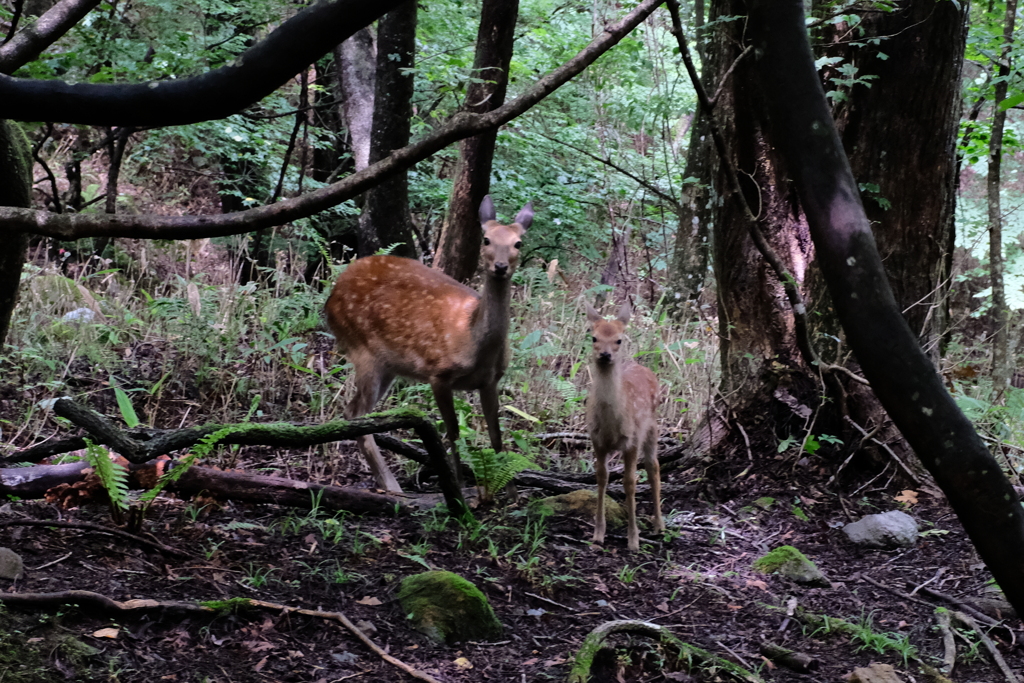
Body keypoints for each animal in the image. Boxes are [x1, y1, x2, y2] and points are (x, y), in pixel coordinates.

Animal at [327, 196, 536, 491]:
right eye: (486, 239)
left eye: (518, 243)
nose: (500, 266)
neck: (473, 342)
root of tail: (330, 298)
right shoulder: (438, 372)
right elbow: (453, 432)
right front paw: (457, 485)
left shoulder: (490, 381)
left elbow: (496, 434)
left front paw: (509, 492)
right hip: (363, 350)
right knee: (355, 412)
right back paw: (391, 486)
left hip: (388, 365)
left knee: (355, 412)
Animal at [585, 301, 663, 552]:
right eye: (593, 337)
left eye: (619, 340)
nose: (605, 354)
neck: (611, 423)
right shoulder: (596, 439)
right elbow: (602, 477)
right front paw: (598, 535)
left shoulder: (632, 440)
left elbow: (630, 482)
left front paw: (634, 540)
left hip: (651, 427)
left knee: (653, 467)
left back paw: (659, 526)